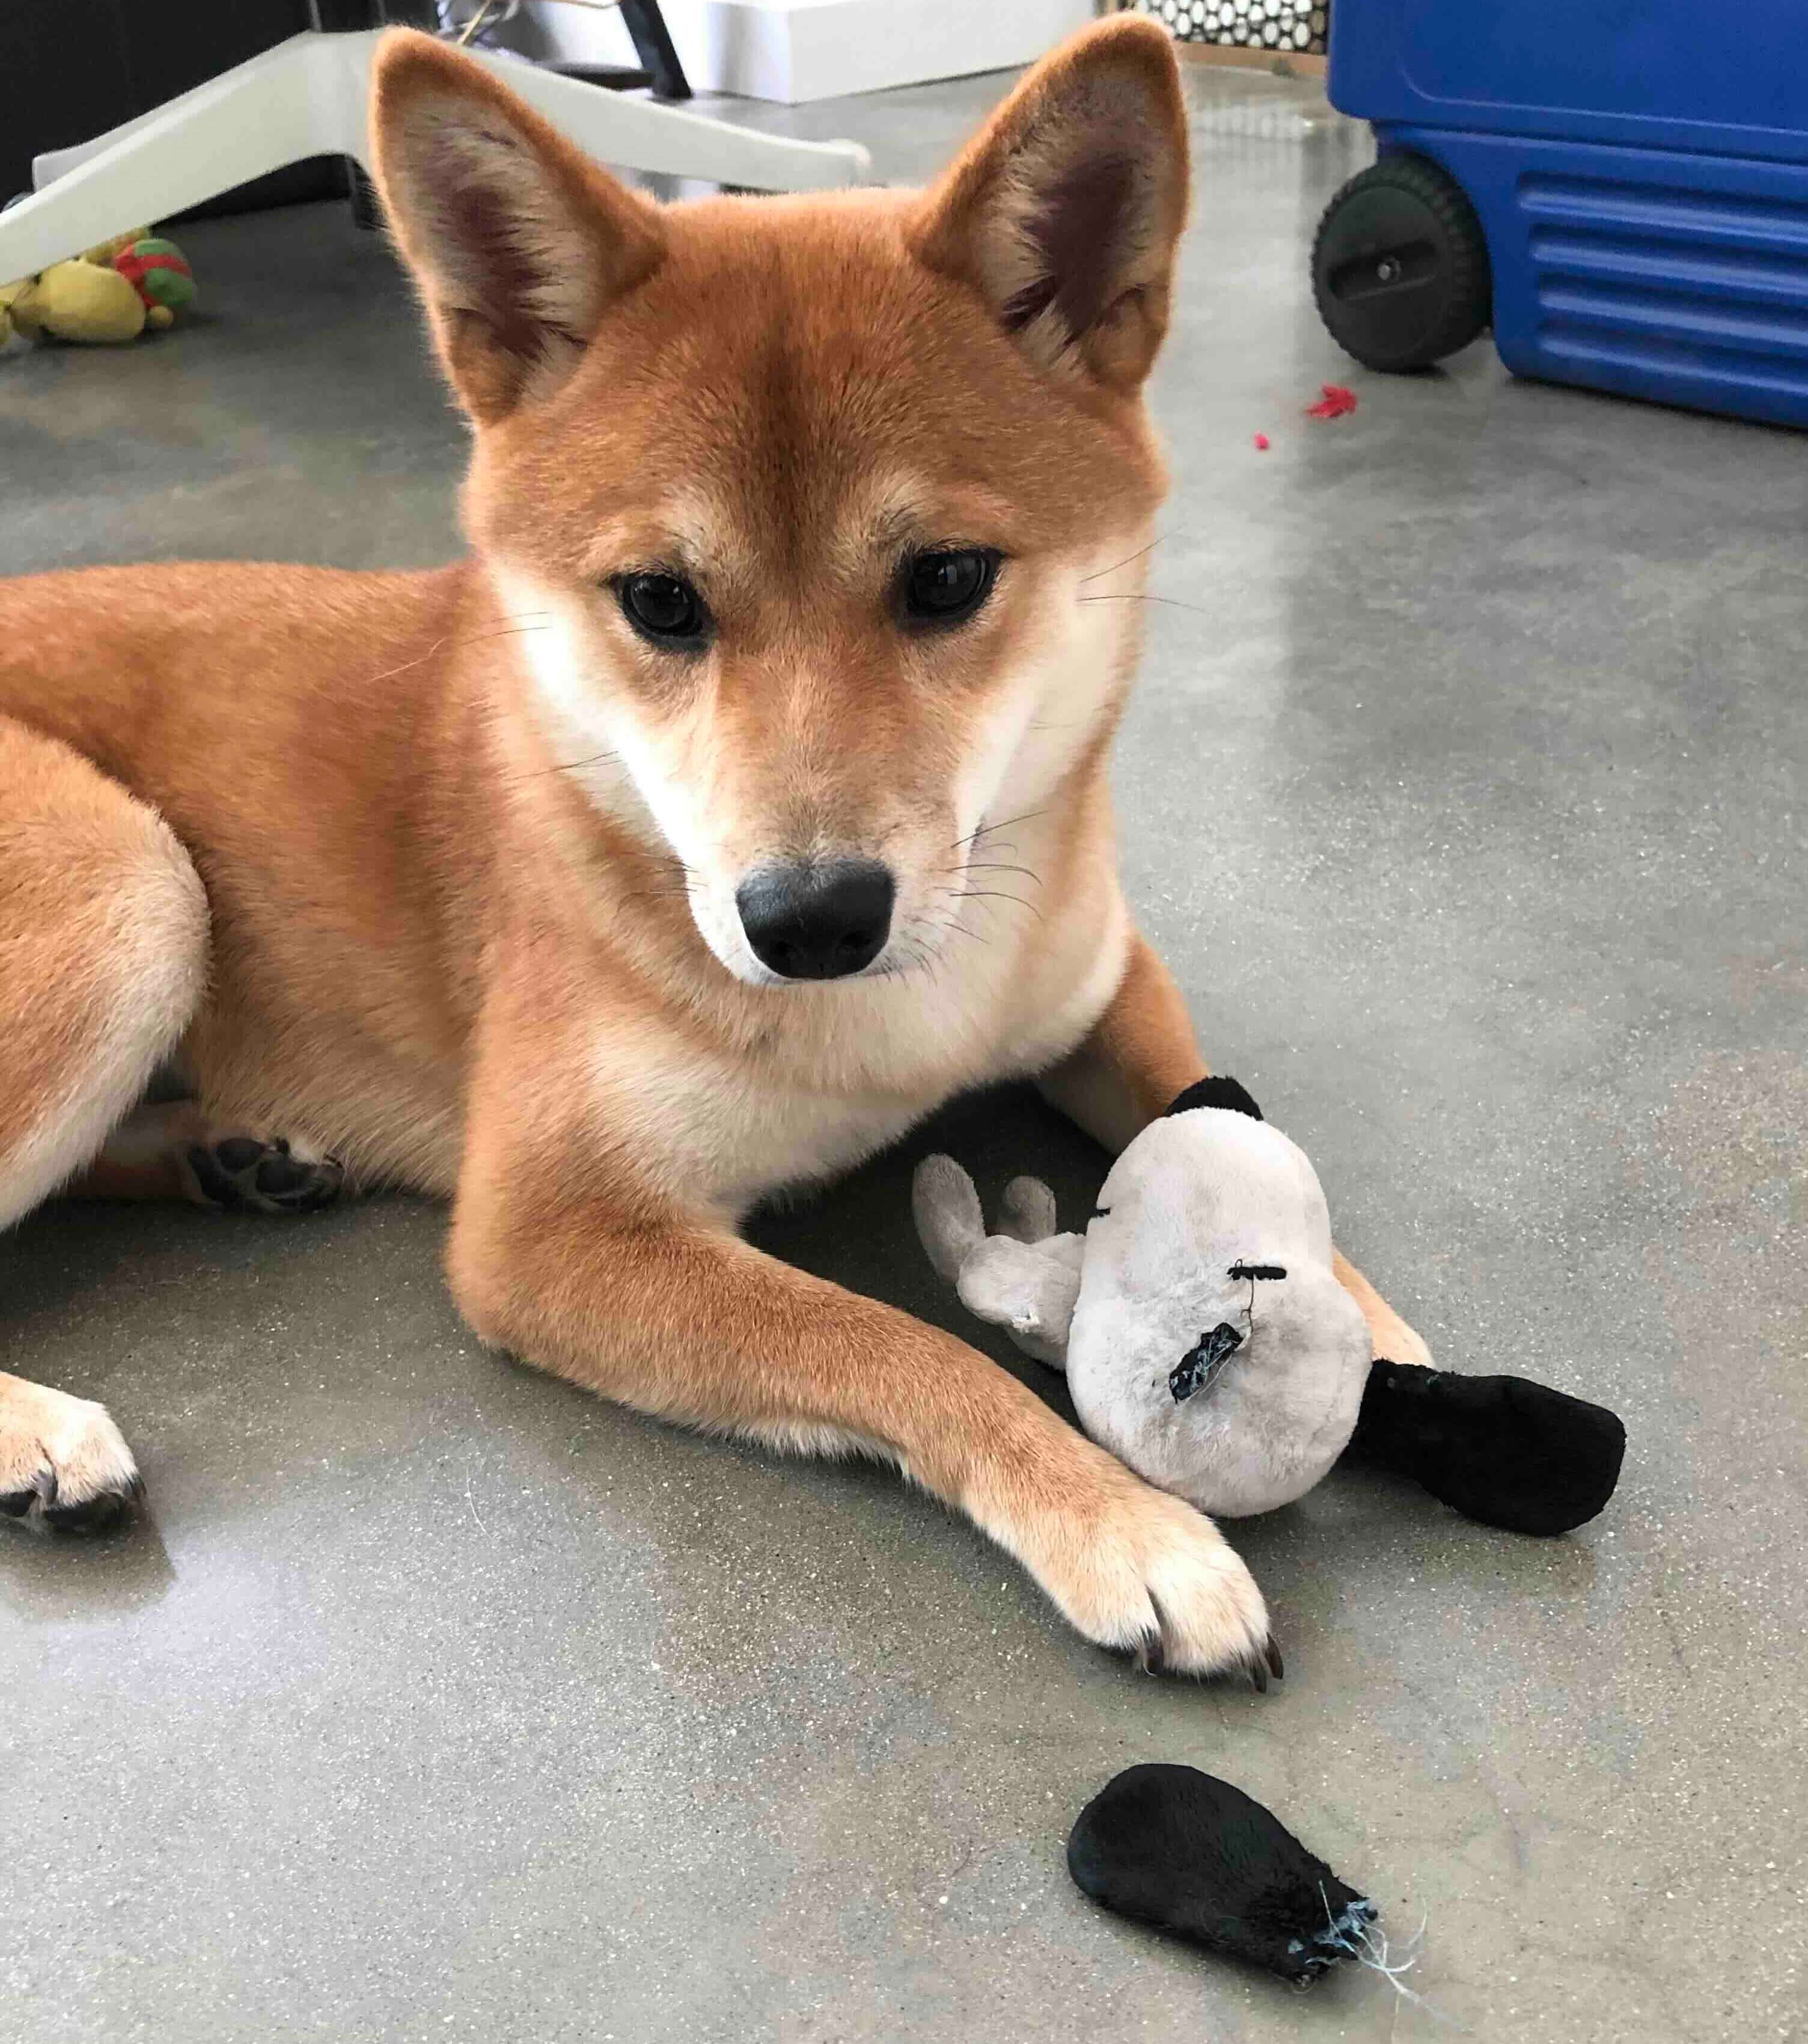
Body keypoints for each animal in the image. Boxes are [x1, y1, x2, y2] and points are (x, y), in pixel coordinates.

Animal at [0, 16, 1431, 1676]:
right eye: (660, 602)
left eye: (947, 578)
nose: (810, 918)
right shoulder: (552, 1231)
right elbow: (897, 1344)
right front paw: (1119, 1519)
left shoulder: (1098, 979)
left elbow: (1233, 1119)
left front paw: (1368, 1321)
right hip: (131, 886)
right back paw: (41, 1426)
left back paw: (232, 1152)